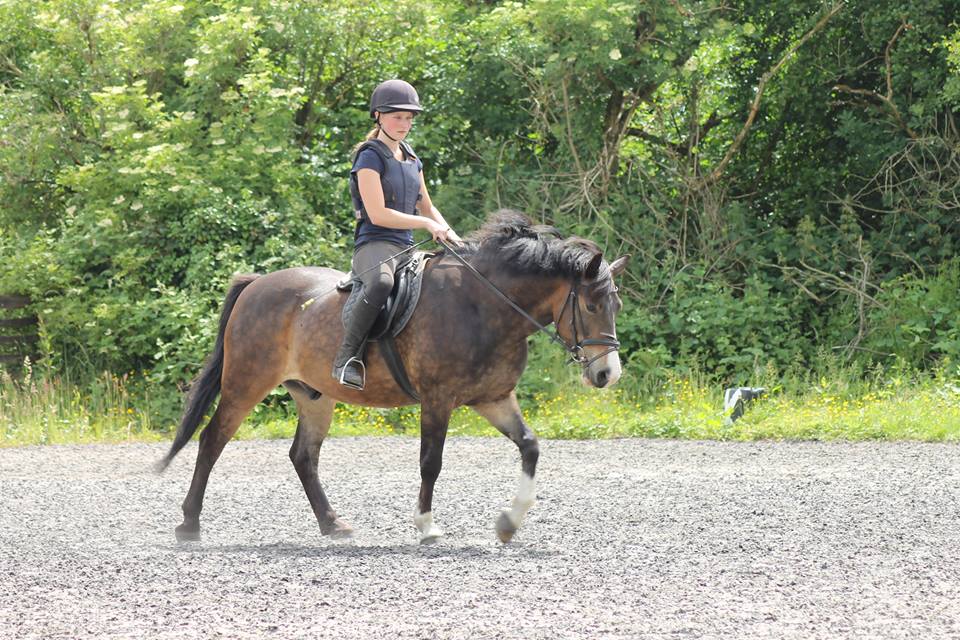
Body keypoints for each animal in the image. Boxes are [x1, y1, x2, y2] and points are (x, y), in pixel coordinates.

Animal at [158, 210, 629, 544]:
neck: (485, 306)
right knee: (212, 439)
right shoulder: (438, 398)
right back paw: (189, 524)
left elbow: (530, 446)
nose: (607, 374)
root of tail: (257, 283)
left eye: (616, 306)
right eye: (590, 306)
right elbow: (431, 461)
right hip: (246, 382)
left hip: (314, 395)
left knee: (303, 456)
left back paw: (333, 524)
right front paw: (427, 526)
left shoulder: (493, 398)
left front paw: (509, 523)